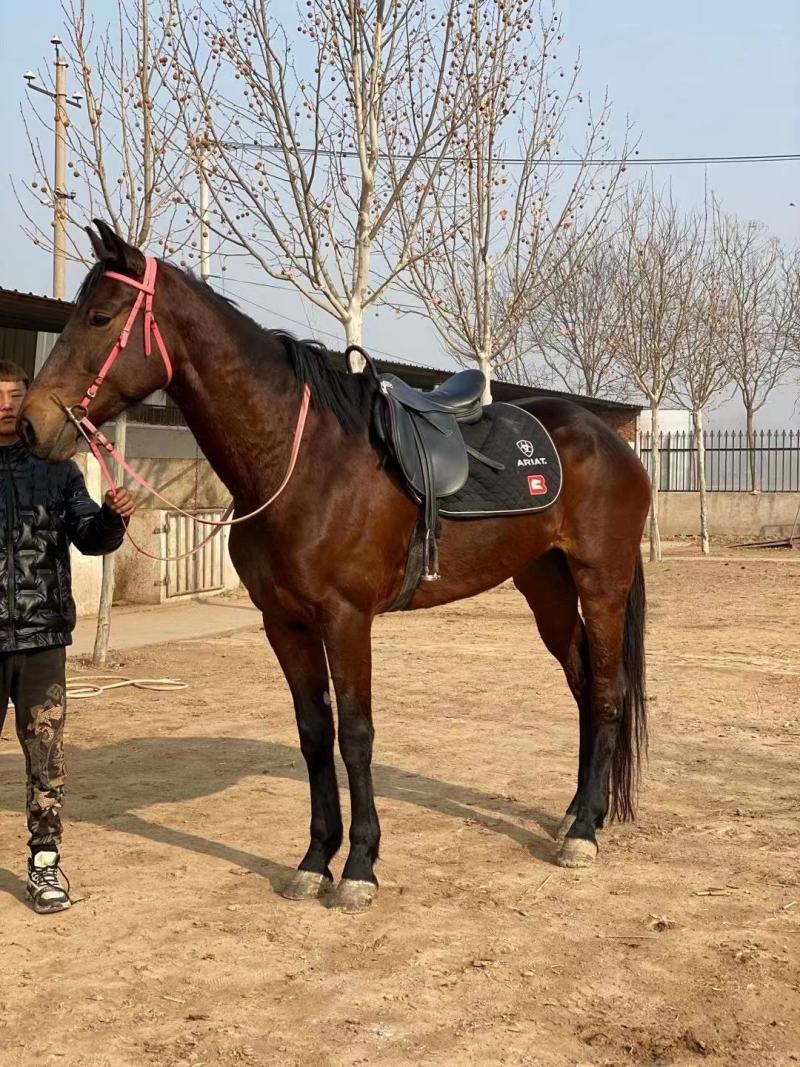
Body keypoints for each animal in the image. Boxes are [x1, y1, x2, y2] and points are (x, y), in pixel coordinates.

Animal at [19, 221, 651, 912]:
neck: (301, 463)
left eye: (101, 317)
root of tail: (610, 438)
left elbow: (355, 734)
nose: (30, 425)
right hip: (546, 586)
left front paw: (360, 868)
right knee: (582, 685)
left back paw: (584, 832)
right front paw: (315, 859)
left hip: (601, 583)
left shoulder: (347, 620)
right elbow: (314, 733)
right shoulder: (285, 623)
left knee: (607, 691)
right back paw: (576, 814)